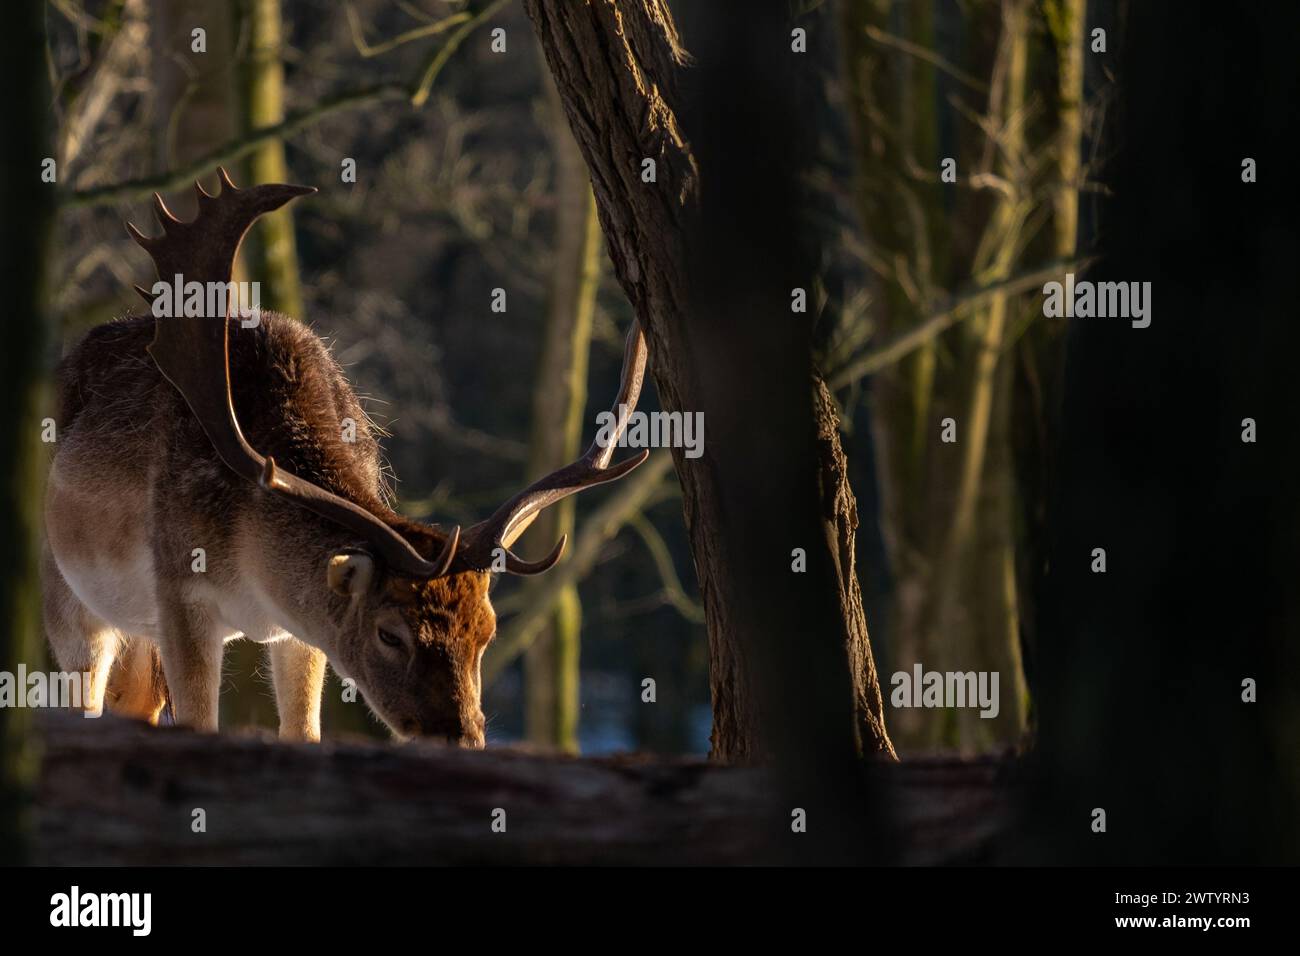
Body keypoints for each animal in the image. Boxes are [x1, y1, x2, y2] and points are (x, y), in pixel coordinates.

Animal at [43, 170, 647, 749]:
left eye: (487, 632)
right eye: (389, 633)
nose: (462, 736)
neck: (249, 569)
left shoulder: (296, 631)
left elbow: (305, 730)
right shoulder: (179, 591)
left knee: (134, 700)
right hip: (67, 594)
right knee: (81, 697)